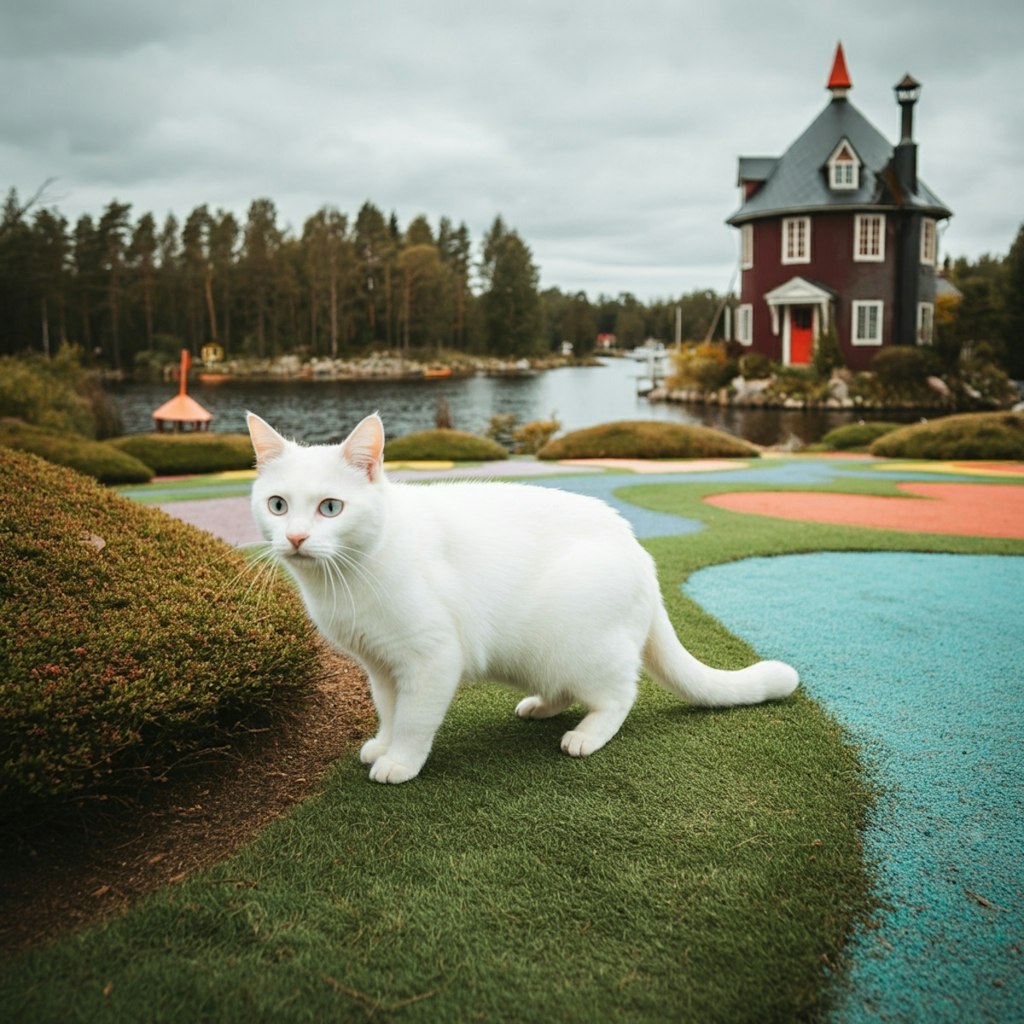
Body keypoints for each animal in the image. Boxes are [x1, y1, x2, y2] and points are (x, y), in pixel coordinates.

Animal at [247, 413, 798, 782]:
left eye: (330, 508)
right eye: (277, 506)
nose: (295, 538)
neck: (342, 580)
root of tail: (642, 555)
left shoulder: (430, 658)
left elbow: (415, 720)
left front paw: (399, 760)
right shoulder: (380, 665)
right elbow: (389, 710)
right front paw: (382, 744)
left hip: (578, 648)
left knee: (620, 693)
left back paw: (588, 734)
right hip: (539, 656)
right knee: (565, 688)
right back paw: (540, 706)